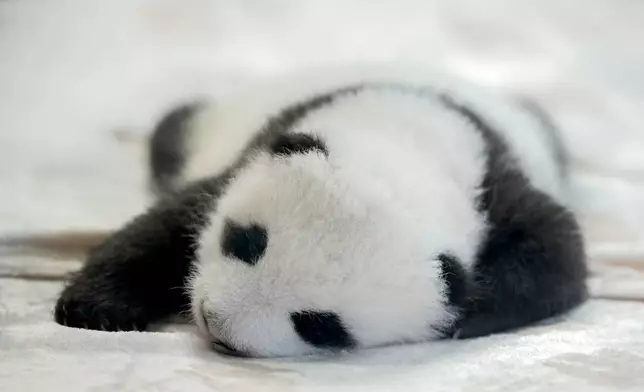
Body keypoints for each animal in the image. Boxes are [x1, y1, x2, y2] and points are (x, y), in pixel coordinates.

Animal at [51, 67, 588, 358]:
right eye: (244, 241)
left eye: (320, 324)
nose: (217, 323)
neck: (412, 142)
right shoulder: (248, 156)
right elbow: (166, 229)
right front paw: (93, 308)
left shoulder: (496, 183)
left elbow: (561, 257)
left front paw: (473, 312)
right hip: (205, 125)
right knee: (173, 129)